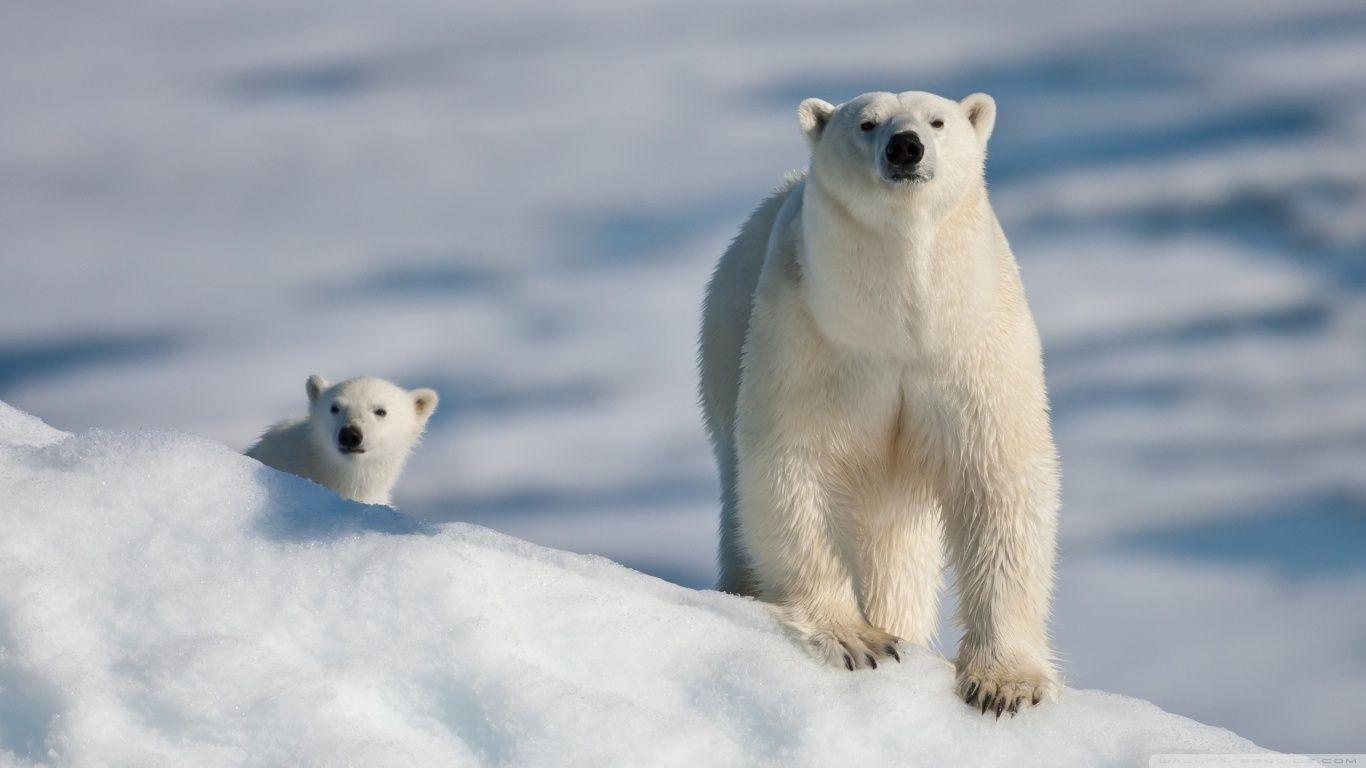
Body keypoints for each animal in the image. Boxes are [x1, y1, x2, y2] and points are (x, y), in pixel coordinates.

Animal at [698, 90, 1059, 715]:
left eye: (937, 121)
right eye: (866, 124)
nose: (905, 147)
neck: (901, 322)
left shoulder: (972, 342)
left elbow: (998, 481)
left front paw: (1003, 684)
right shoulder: (813, 336)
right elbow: (795, 467)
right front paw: (856, 639)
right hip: (725, 346)